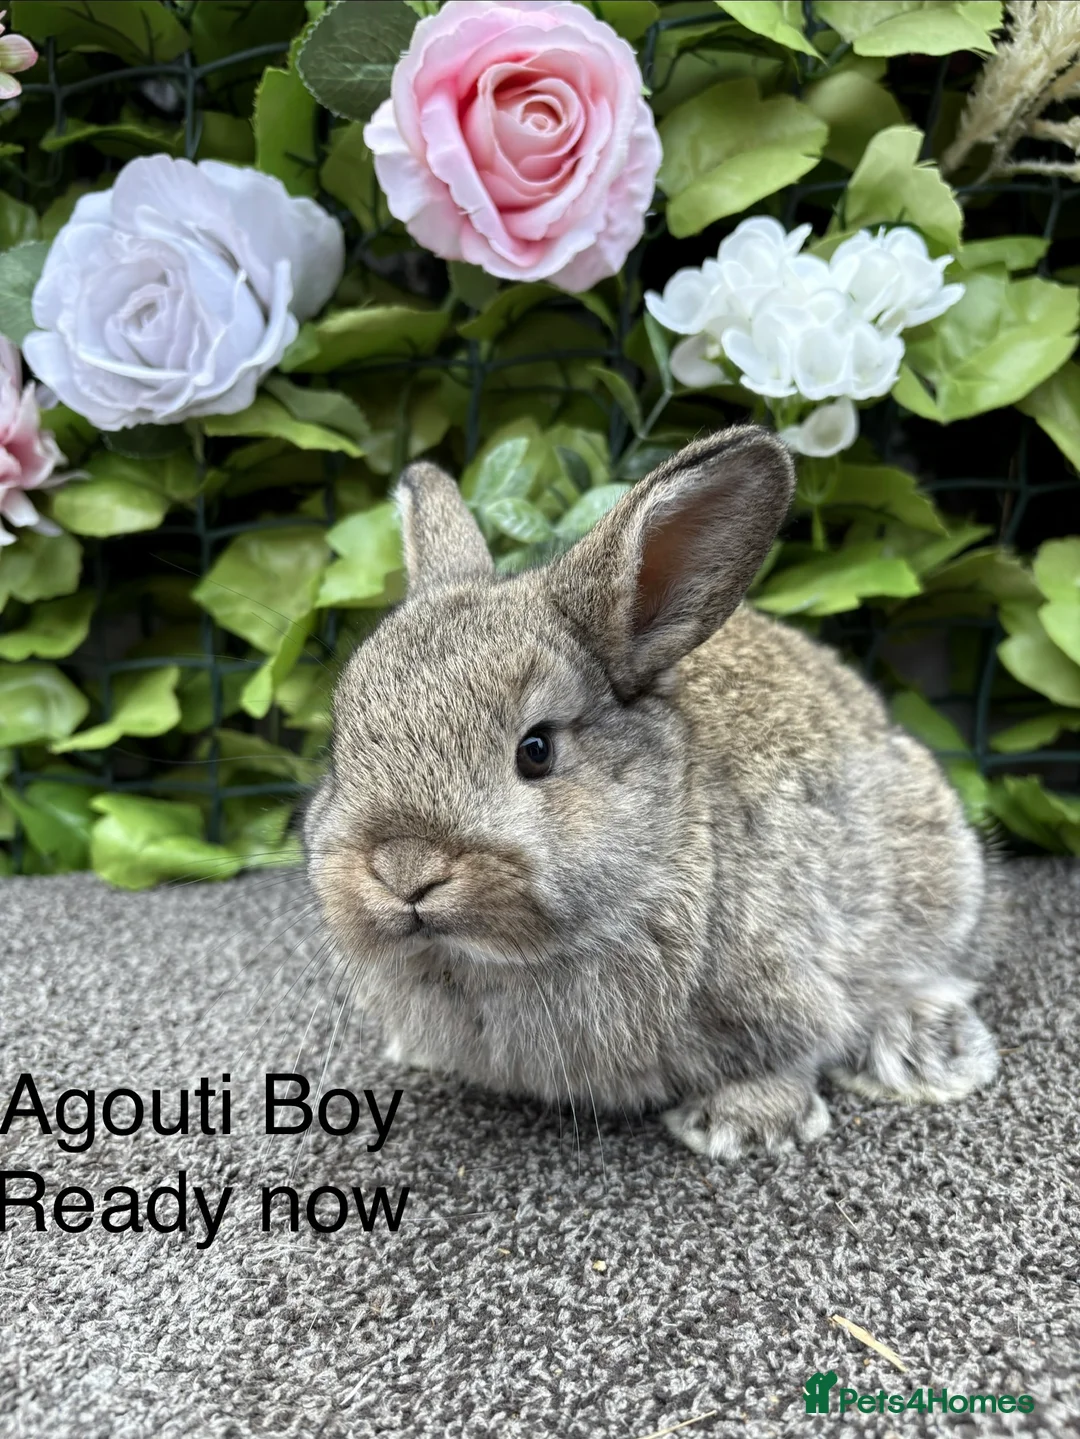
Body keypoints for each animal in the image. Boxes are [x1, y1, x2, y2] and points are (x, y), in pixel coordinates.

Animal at [303, 425, 1000, 1160]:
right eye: (340, 747)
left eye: (536, 750)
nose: (404, 871)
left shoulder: (790, 977)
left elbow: (791, 1053)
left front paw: (742, 1123)